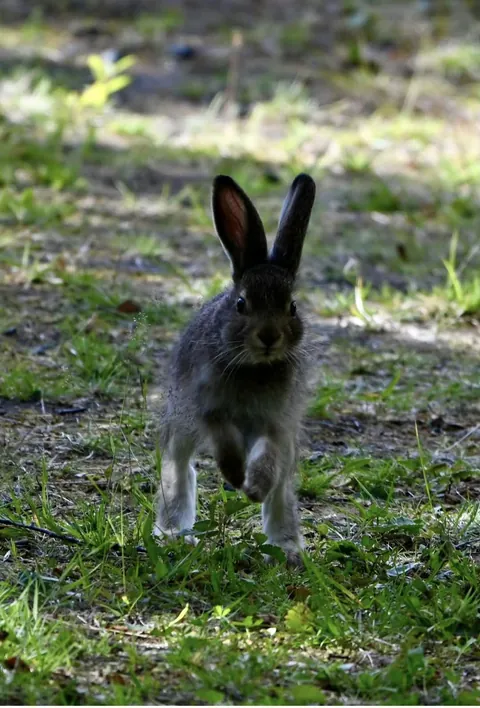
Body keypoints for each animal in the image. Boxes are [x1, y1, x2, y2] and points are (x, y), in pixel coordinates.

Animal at [154, 172, 316, 566]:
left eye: (291, 307)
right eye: (242, 304)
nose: (269, 336)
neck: (254, 367)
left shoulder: (276, 423)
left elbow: (268, 459)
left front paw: (253, 488)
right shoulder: (208, 410)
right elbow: (224, 442)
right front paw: (233, 473)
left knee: (282, 491)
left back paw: (286, 546)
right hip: (180, 432)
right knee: (180, 470)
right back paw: (173, 533)